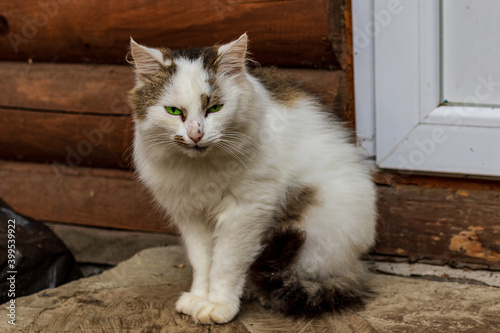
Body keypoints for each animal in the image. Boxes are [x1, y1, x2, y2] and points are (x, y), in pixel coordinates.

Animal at [127, 34, 376, 324]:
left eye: (214, 108)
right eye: (174, 111)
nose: (196, 135)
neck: (201, 166)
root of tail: (355, 264)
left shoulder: (245, 211)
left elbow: (225, 263)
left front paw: (218, 305)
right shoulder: (191, 215)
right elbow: (203, 262)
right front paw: (199, 298)